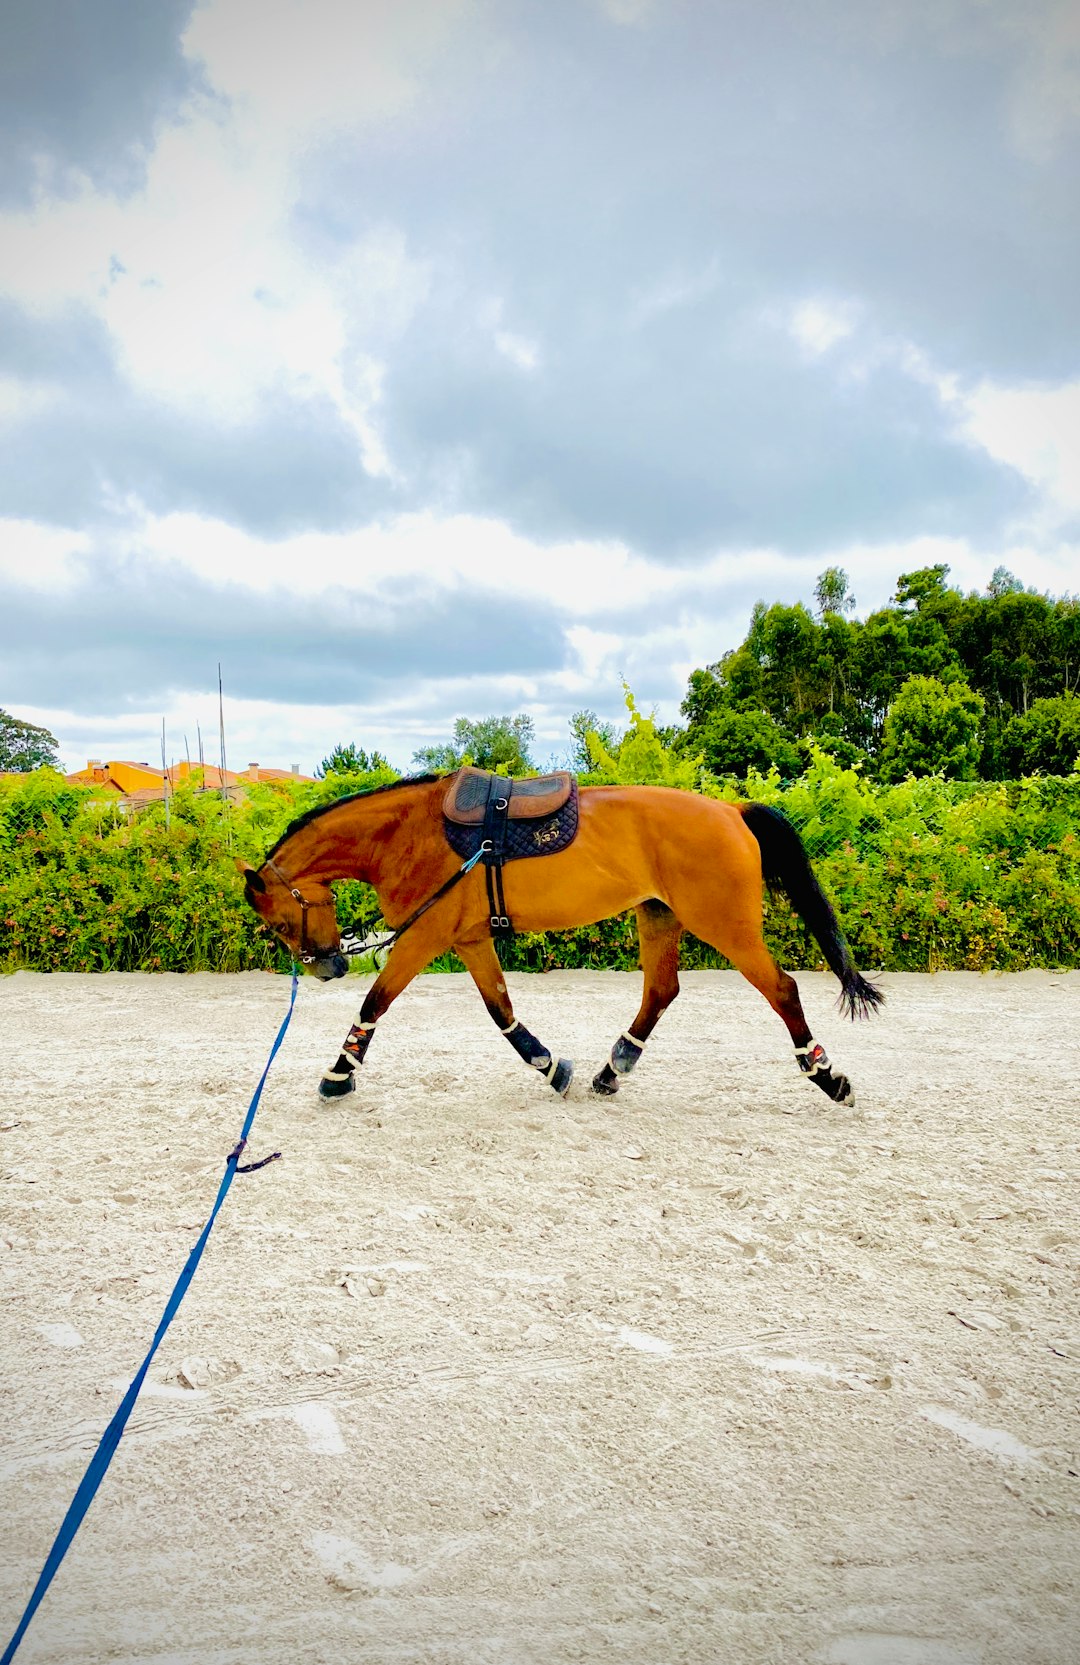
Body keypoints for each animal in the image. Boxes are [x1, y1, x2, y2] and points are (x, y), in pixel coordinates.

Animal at [236, 772, 878, 1112]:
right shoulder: (470, 940)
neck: (405, 836)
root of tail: (731, 810)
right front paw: (550, 1067)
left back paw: (828, 1076)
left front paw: (337, 1076)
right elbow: (501, 1010)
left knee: (783, 990)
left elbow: (375, 1004)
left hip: (724, 926)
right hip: (659, 917)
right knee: (660, 992)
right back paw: (612, 1068)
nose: (325, 968)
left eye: (278, 923)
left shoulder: (424, 937)